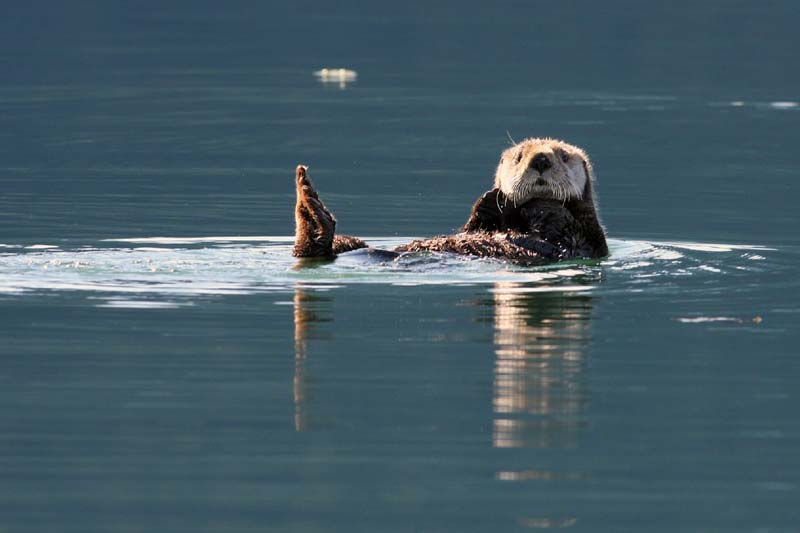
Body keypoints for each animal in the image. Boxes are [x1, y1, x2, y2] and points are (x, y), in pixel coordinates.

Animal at [292, 138, 608, 265]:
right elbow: (474, 225)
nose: (540, 159)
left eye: (563, 156)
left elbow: (561, 226)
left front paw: (541, 205)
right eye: (519, 157)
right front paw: (493, 197)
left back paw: (310, 206)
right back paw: (307, 199)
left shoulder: (586, 238)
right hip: (350, 244)